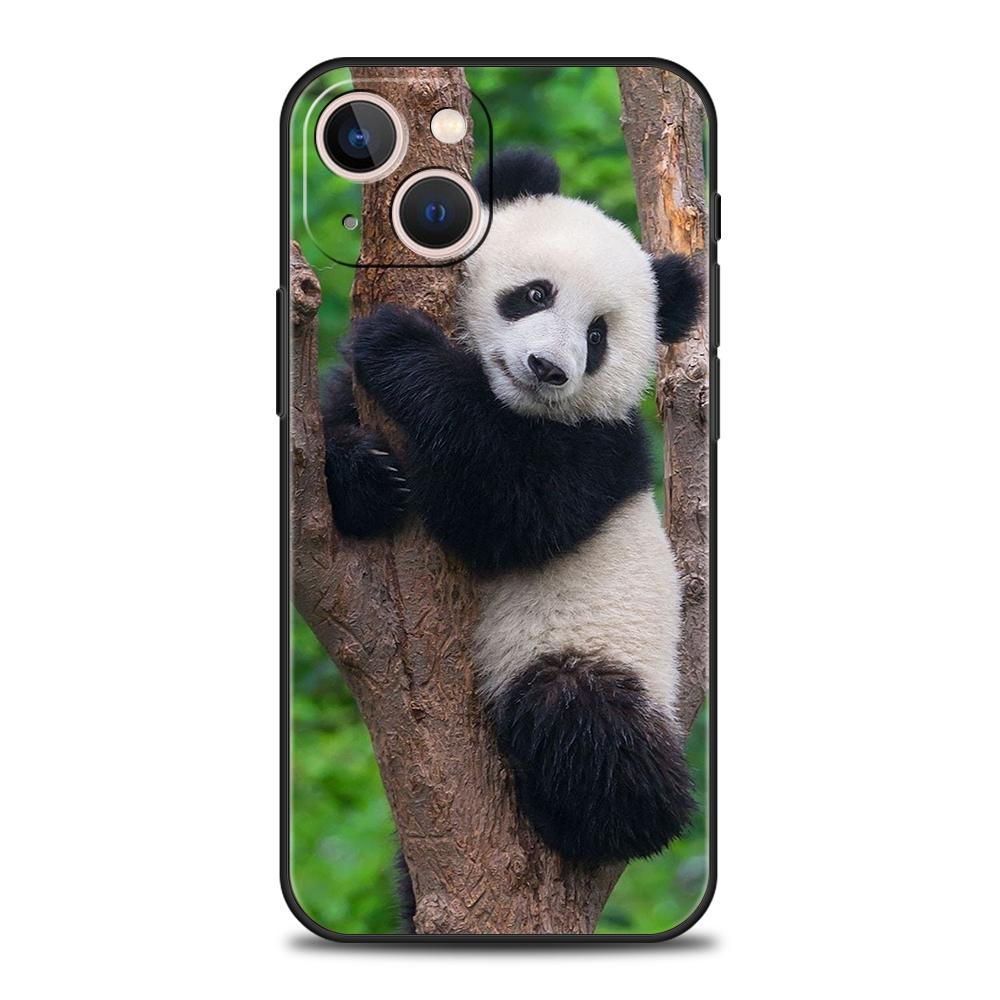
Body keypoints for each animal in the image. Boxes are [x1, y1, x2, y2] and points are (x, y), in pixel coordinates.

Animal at [321, 149, 702, 878]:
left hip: (598, 651)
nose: (548, 368)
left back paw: (596, 820)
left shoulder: (602, 450)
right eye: (535, 294)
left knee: (584, 719)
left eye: (597, 335)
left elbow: (508, 510)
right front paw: (366, 475)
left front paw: (400, 347)